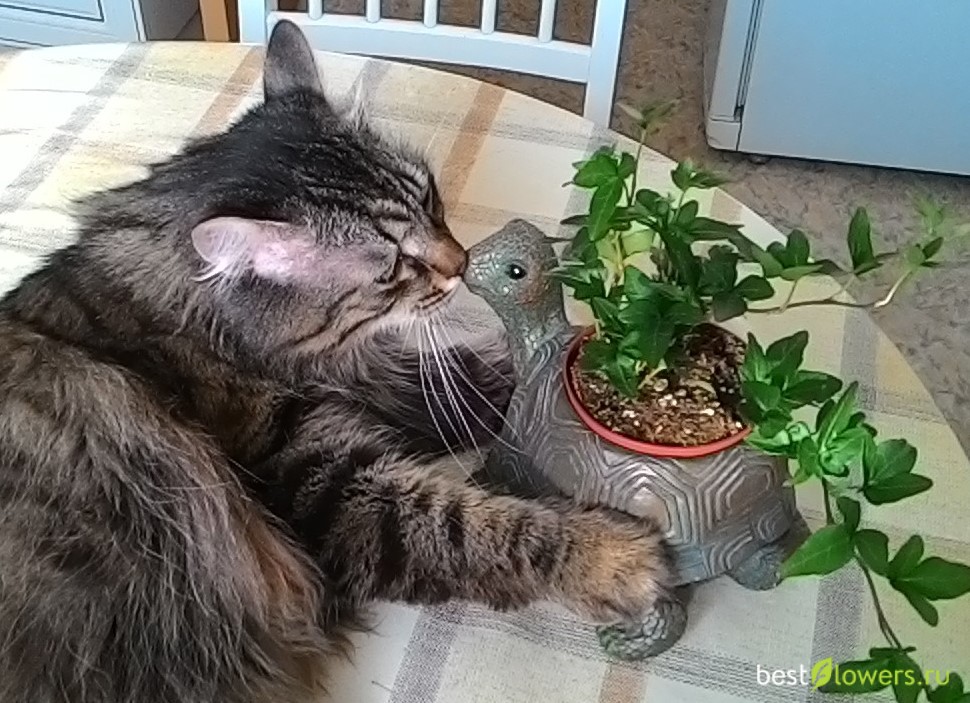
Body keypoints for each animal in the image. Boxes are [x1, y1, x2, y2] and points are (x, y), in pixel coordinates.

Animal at [0, 20, 670, 703]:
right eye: (394, 267)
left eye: (432, 199)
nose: (461, 265)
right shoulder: (332, 491)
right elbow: (480, 527)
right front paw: (613, 557)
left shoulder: (382, 384)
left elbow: (492, 382)